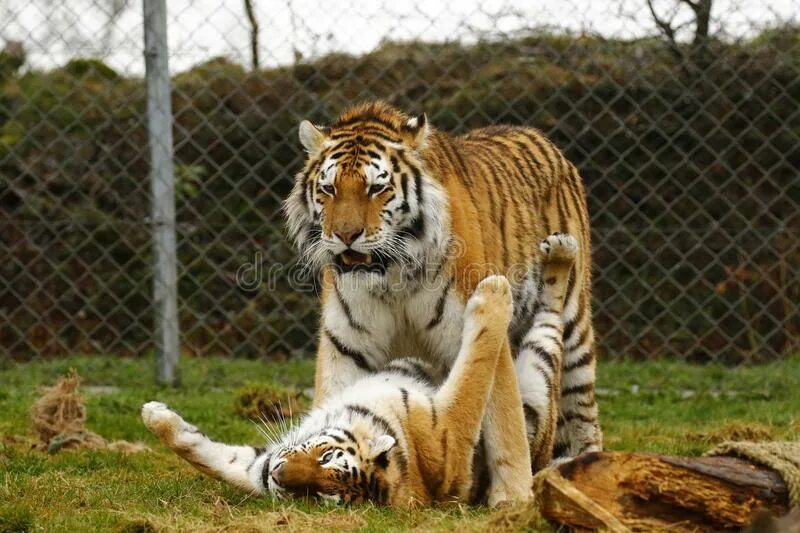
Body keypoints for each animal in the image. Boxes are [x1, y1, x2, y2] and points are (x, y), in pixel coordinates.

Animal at [142, 234, 578, 507]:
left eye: (322, 489)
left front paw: (494, 292)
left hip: (538, 375)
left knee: (552, 318)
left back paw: (560, 256)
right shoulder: (256, 468)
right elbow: (207, 456)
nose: (279, 476)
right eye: (324, 459)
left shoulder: (452, 429)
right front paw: (156, 415)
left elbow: (477, 361)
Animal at [283, 101, 602, 499]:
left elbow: (504, 418)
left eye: (376, 188)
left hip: (576, 327)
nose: (345, 235)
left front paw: (512, 494)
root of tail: (540, 135)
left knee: (583, 410)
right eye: (328, 188)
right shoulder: (347, 341)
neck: (392, 276)